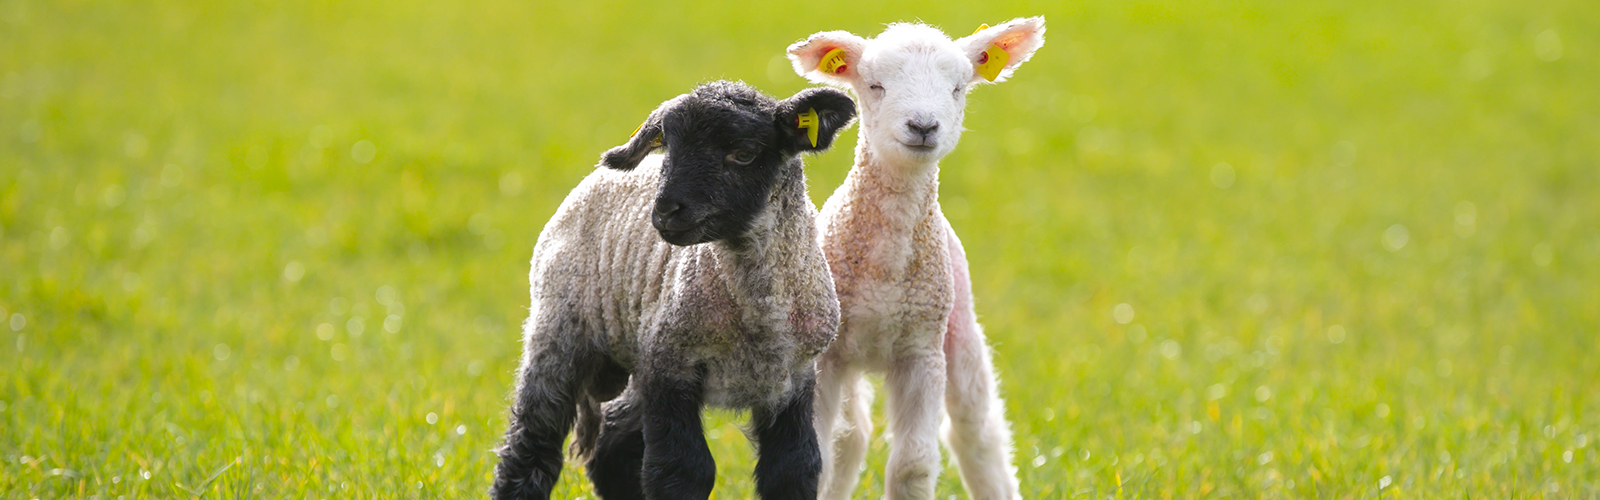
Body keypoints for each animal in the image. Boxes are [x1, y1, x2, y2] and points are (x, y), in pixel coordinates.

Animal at [490, 81, 856, 500]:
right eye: (667, 145)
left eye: (744, 154)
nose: (665, 210)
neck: (758, 315)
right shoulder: (671, 367)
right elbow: (682, 469)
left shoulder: (792, 379)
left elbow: (793, 467)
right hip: (560, 327)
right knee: (532, 444)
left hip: (638, 351)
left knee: (612, 440)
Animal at [785, 18, 1046, 500]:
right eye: (875, 86)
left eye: (958, 88)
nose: (923, 125)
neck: (885, 276)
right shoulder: (823, 357)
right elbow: (818, 458)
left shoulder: (921, 352)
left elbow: (914, 465)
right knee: (851, 436)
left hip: (959, 328)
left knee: (976, 431)